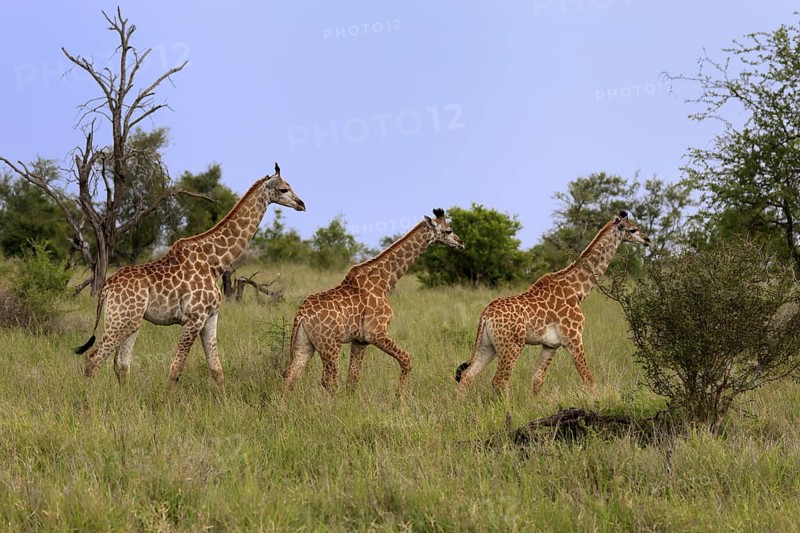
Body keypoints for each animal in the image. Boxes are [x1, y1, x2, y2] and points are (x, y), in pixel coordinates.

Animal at [74, 163, 305, 392]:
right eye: (284, 189)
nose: (301, 204)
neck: (215, 263)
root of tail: (106, 288)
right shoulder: (194, 318)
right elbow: (176, 368)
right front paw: (167, 402)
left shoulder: (211, 316)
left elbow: (216, 369)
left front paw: (223, 401)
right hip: (120, 320)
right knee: (93, 359)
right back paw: (88, 399)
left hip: (130, 321)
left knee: (121, 364)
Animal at [283, 208, 464, 394]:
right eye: (448, 230)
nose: (461, 243)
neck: (384, 281)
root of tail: (301, 315)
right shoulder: (376, 332)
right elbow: (406, 359)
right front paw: (400, 398)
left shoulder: (360, 340)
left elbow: (353, 378)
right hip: (330, 344)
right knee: (329, 381)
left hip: (304, 345)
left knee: (291, 375)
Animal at [455, 210, 650, 396]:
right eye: (633, 229)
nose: (647, 240)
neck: (578, 291)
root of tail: (486, 315)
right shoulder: (574, 338)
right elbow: (588, 379)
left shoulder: (550, 345)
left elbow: (537, 381)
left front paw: (532, 406)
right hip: (512, 345)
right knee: (500, 381)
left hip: (488, 345)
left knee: (467, 376)